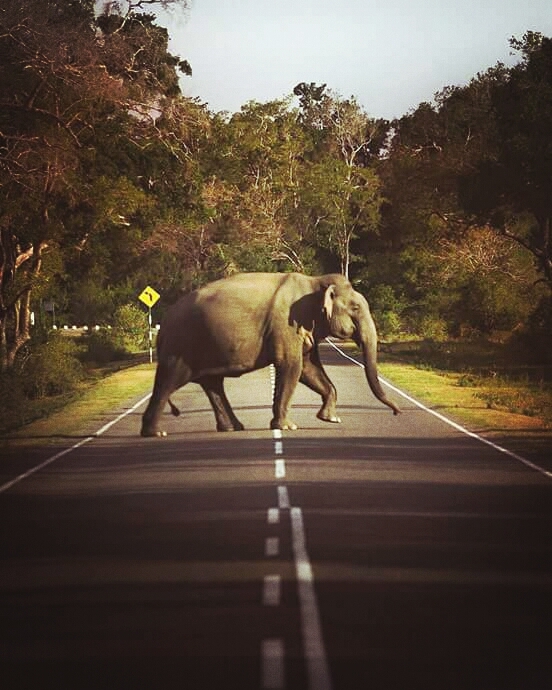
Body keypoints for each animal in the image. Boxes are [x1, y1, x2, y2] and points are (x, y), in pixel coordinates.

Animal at [140, 272, 400, 437]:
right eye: (355, 308)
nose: (397, 411)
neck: (315, 281)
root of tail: (164, 325)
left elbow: (309, 368)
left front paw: (330, 419)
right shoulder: (286, 324)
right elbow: (292, 366)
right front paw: (287, 427)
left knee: (213, 384)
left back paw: (233, 428)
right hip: (180, 347)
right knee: (169, 381)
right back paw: (156, 432)